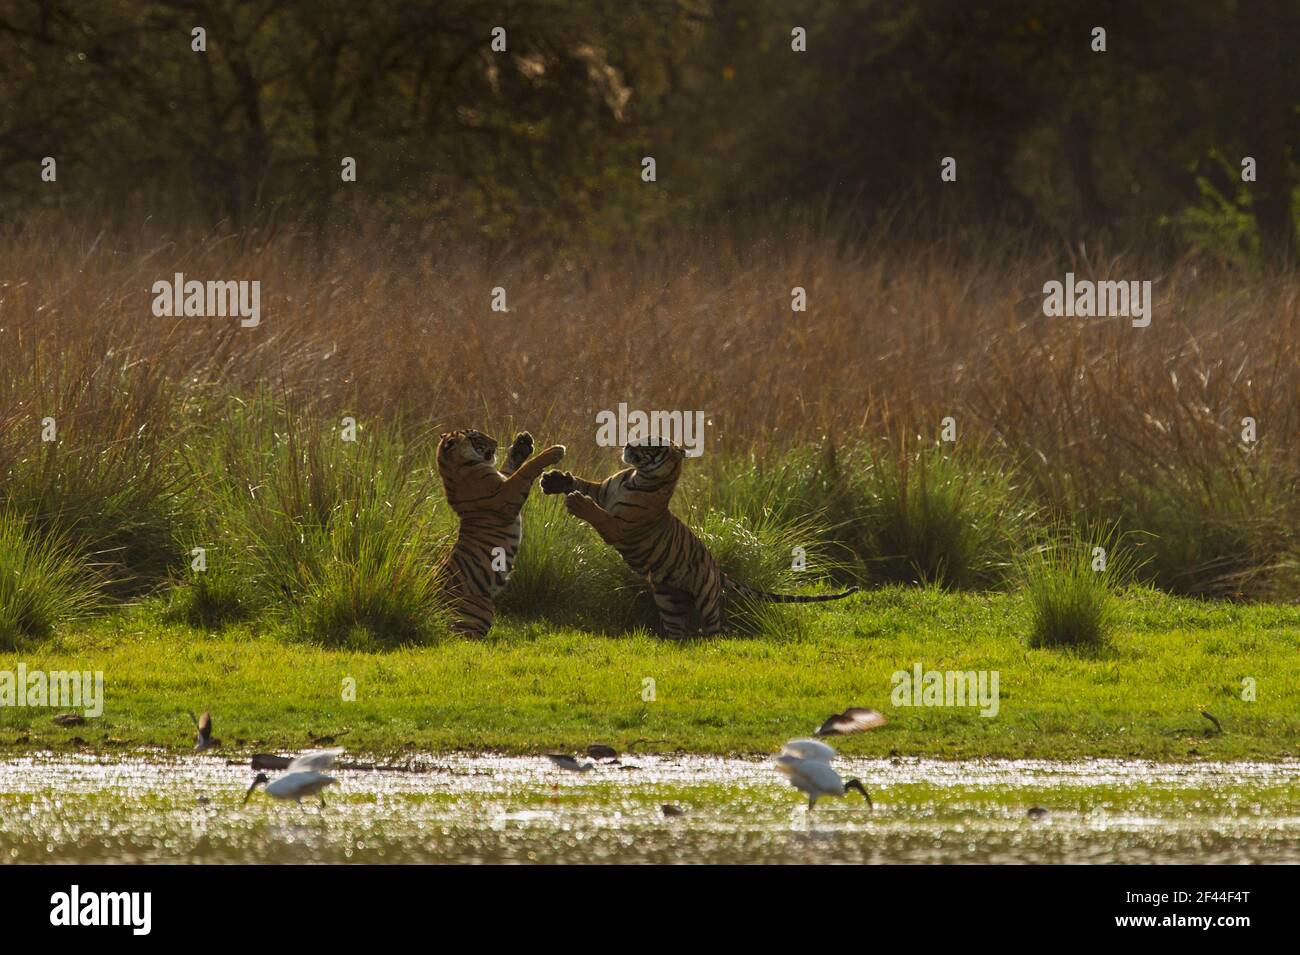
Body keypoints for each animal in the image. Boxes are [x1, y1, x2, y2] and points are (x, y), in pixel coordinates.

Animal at [436, 428, 564, 639]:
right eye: (476, 437)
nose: (495, 442)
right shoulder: (504, 495)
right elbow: (525, 471)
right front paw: (554, 451)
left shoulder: (503, 480)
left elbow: (510, 467)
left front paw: (522, 444)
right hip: (483, 610)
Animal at [543, 444, 857, 639]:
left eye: (651, 444)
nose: (629, 444)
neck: (635, 477)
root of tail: (719, 569)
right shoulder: (603, 491)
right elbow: (584, 483)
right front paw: (554, 480)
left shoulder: (619, 526)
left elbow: (597, 513)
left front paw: (577, 503)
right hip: (668, 600)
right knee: (678, 631)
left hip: (707, 598)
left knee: (715, 628)